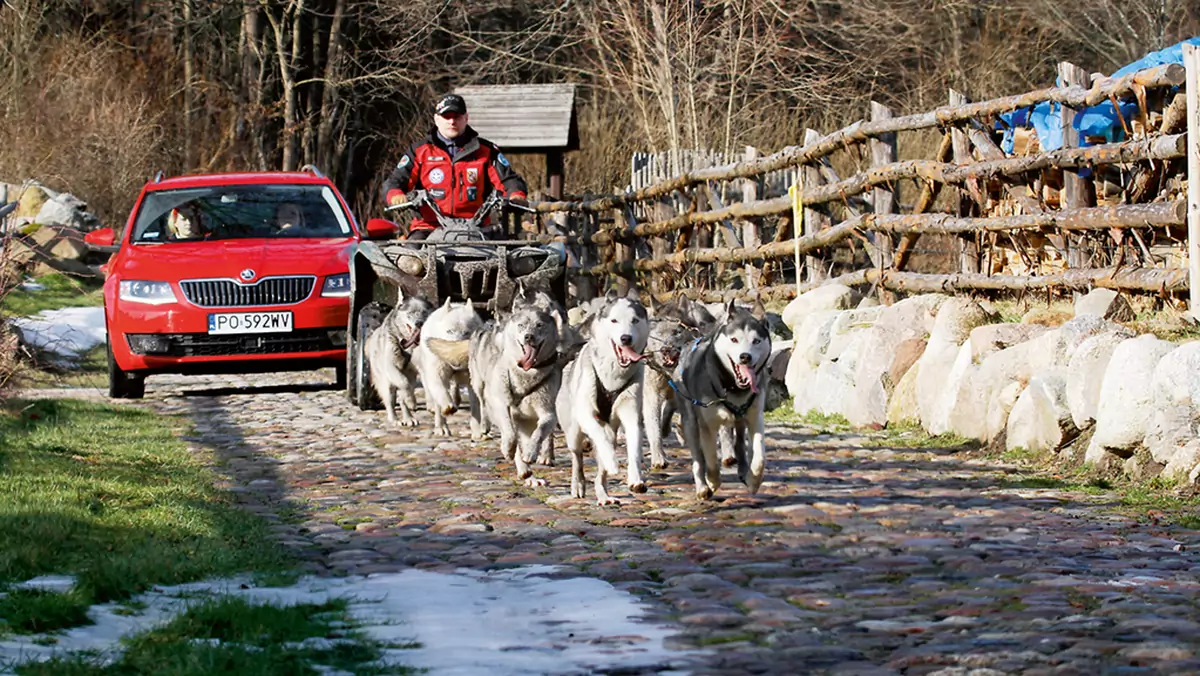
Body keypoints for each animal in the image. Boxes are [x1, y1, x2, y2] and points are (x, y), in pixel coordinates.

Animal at [367, 290, 439, 427]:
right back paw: (395, 419)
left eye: (424, 312)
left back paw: (408, 418)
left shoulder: (421, 368)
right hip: (386, 383)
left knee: (402, 400)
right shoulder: (391, 367)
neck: (408, 347)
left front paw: (431, 404)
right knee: (391, 401)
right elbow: (404, 383)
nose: (419, 323)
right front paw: (411, 400)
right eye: (410, 313)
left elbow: (427, 386)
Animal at [412, 298, 482, 437]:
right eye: (449, 331)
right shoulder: (437, 372)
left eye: (466, 332)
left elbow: (476, 406)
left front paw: (478, 431)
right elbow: (441, 393)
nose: (454, 352)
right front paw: (445, 416)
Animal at [556, 294, 652, 504]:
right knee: (577, 457)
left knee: (601, 472)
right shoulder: (586, 413)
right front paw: (612, 461)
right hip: (573, 431)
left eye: (634, 320)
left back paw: (604, 495)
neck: (613, 376)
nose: (625, 338)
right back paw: (578, 484)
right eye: (614, 320)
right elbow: (599, 436)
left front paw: (635, 478)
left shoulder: (631, 413)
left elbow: (634, 447)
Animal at [672, 298, 772, 499]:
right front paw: (712, 481)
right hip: (690, 421)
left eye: (756, 341)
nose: (745, 356)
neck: (732, 387)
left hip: (740, 422)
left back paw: (743, 470)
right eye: (734, 339)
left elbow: (759, 458)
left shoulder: (755, 417)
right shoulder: (707, 425)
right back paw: (702, 486)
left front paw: (753, 480)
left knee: (740, 444)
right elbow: (710, 459)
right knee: (698, 458)